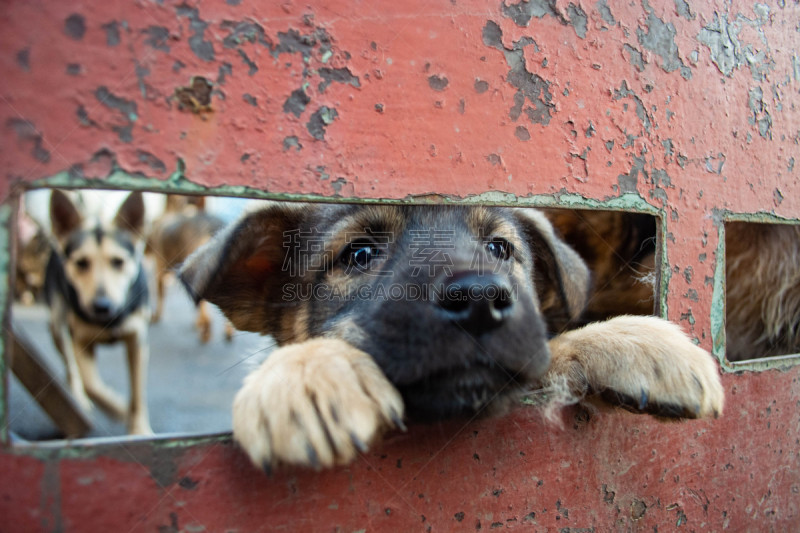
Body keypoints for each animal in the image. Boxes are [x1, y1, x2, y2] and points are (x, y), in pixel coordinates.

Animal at [45, 189, 153, 434]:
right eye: (81, 263)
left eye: (118, 262)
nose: (102, 306)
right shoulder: (80, 341)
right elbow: (92, 384)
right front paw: (119, 409)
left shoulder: (137, 341)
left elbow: (138, 393)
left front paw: (139, 428)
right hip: (58, 323)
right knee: (71, 366)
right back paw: (78, 398)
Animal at [181, 204, 724, 470]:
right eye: (359, 254)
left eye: (499, 249)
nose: (481, 298)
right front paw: (306, 375)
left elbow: (549, 347)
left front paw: (639, 341)